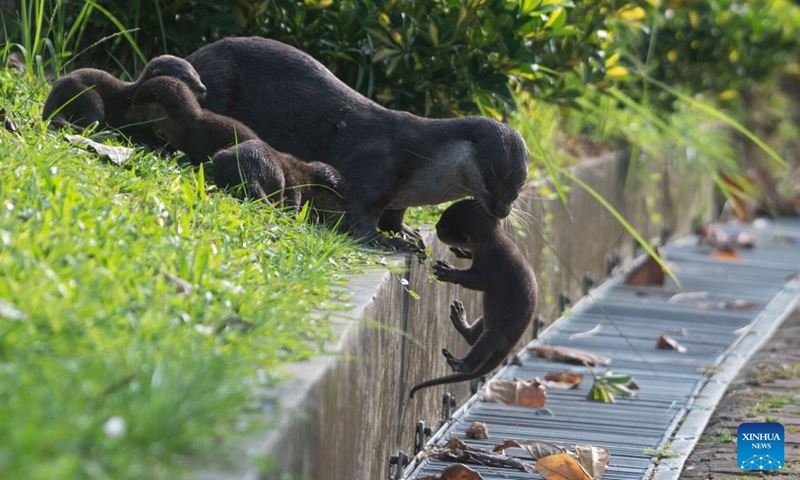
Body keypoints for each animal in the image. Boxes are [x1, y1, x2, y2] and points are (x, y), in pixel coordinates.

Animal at [184, 36, 528, 251]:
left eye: (520, 184)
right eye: (493, 175)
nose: (502, 209)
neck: (422, 159)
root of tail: (194, 55)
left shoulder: (400, 196)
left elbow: (394, 214)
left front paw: (405, 232)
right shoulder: (374, 168)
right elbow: (361, 214)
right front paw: (387, 241)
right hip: (219, 79)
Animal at [412, 199, 536, 398]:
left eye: (443, 229)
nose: (436, 226)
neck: (493, 245)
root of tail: (511, 346)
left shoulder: (492, 268)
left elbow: (474, 281)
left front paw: (448, 271)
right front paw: (462, 252)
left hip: (496, 334)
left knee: (478, 352)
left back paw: (458, 363)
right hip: (485, 319)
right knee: (472, 336)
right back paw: (459, 318)